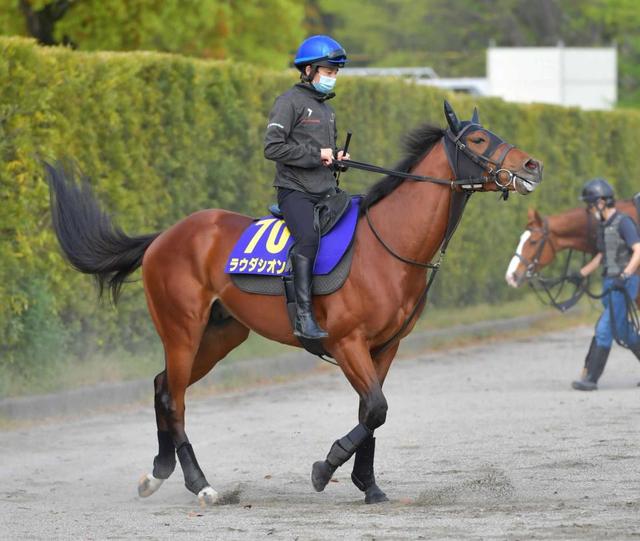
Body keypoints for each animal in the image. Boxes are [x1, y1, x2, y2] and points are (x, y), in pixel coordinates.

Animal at [47, 101, 544, 506]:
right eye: (478, 139)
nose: (533, 164)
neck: (387, 244)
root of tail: (163, 237)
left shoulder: (385, 347)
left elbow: (372, 413)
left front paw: (369, 486)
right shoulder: (347, 343)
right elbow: (376, 409)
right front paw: (325, 469)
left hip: (220, 335)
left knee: (161, 385)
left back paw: (157, 473)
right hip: (182, 329)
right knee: (174, 397)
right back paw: (199, 484)